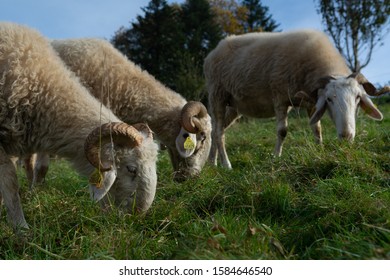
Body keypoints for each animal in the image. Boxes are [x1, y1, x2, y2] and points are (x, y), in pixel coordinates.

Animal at [204, 29, 384, 168]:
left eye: (358, 98)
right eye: (329, 100)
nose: (346, 137)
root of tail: (213, 52)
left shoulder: (311, 101)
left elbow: (316, 128)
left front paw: (320, 149)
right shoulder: (279, 97)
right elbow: (282, 131)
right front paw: (276, 157)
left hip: (233, 106)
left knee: (215, 131)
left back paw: (212, 162)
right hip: (217, 95)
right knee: (219, 133)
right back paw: (226, 164)